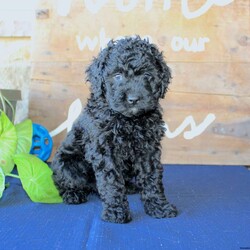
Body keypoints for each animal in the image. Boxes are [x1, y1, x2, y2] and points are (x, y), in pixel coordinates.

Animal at [50, 36, 177, 223]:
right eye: (117, 76)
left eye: (147, 76)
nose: (133, 99)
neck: (128, 120)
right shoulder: (104, 150)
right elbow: (111, 181)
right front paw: (116, 211)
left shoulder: (148, 148)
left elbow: (152, 177)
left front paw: (159, 206)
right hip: (65, 163)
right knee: (64, 182)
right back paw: (73, 194)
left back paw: (130, 186)